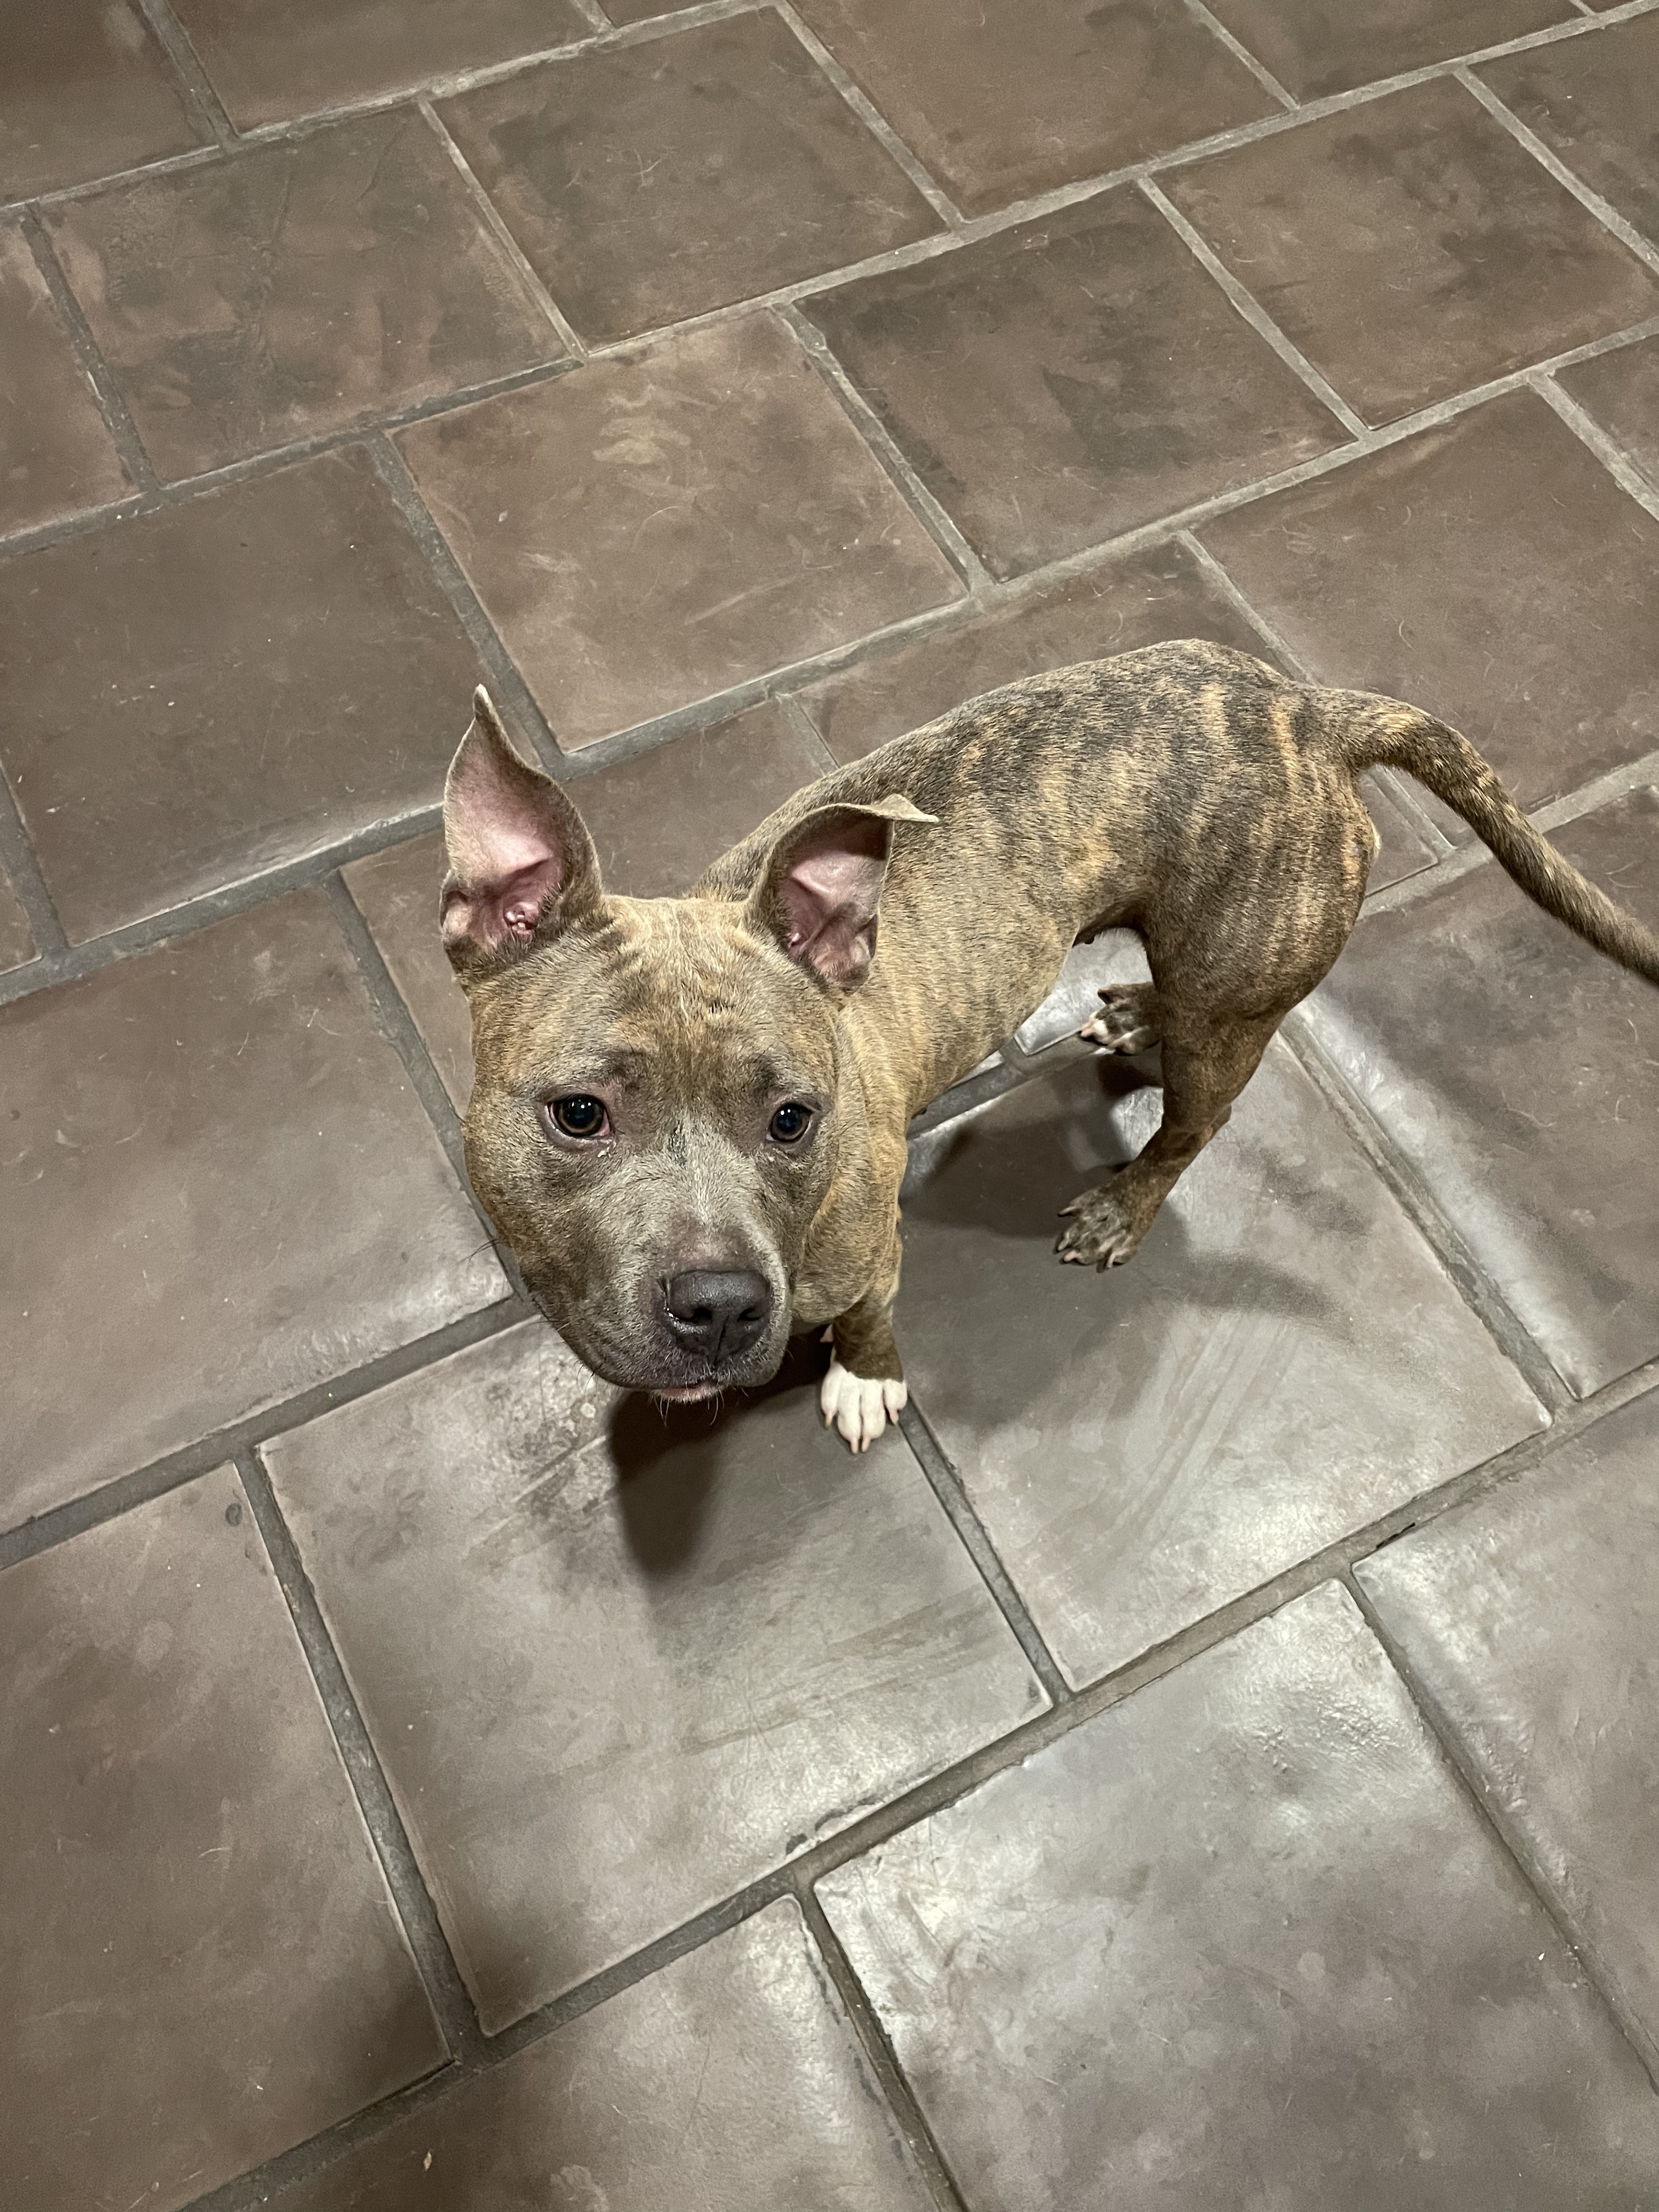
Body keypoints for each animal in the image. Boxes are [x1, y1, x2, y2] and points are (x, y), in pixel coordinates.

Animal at [440, 640, 1659, 1450]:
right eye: (578, 1115)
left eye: (793, 1120)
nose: (723, 1307)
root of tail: (1305, 713)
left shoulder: (868, 1252)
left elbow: (870, 1318)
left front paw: (865, 1381)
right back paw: (1136, 1015)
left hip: (1237, 997)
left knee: (1191, 1126)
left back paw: (1123, 1205)